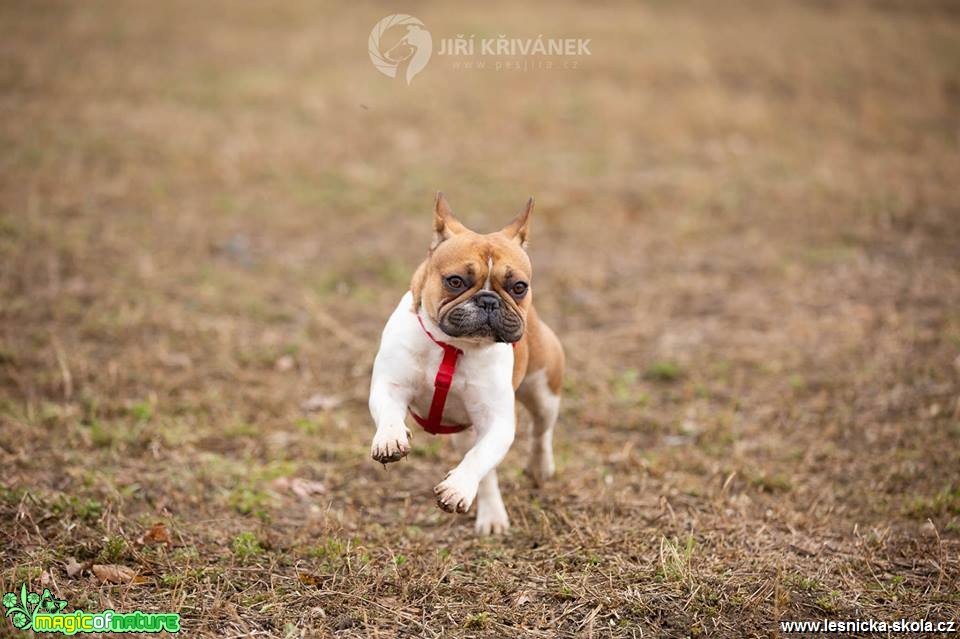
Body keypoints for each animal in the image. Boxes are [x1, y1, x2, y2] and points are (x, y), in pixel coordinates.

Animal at [368, 194, 564, 536]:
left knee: (540, 432)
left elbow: (479, 457)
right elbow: (390, 413)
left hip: (544, 391)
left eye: (519, 287)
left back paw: (537, 469)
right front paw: (390, 439)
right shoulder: (390, 386)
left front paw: (457, 487)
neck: (454, 348)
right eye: (455, 281)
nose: (488, 300)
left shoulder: (497, 422)